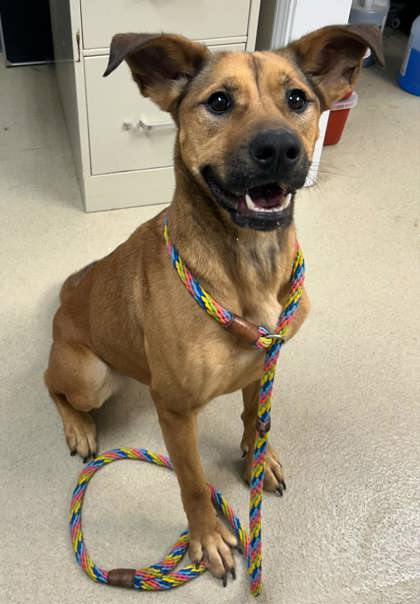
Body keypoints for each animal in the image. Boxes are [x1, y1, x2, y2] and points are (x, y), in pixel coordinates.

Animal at [45, 24, 384, 584]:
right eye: (219, 102)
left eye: (298, 99)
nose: (279, 148)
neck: (248, 263)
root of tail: (67, 294)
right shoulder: (176, 412)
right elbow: (192, 482)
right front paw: (207, 539)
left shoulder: (266, 360)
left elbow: (255, 417)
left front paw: (257, 460)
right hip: (89, 375)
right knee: (52, 386)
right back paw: (77, 427)